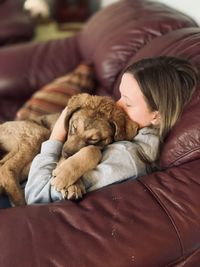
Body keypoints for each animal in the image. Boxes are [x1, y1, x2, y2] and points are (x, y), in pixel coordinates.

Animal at [0, 93, 138, 206]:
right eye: (74, 127)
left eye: (94, 139)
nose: (65, 153)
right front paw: (72, 185)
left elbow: (93, 149)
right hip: (37, 134)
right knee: (7, 168)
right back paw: (20, 201)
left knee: (3, 166)